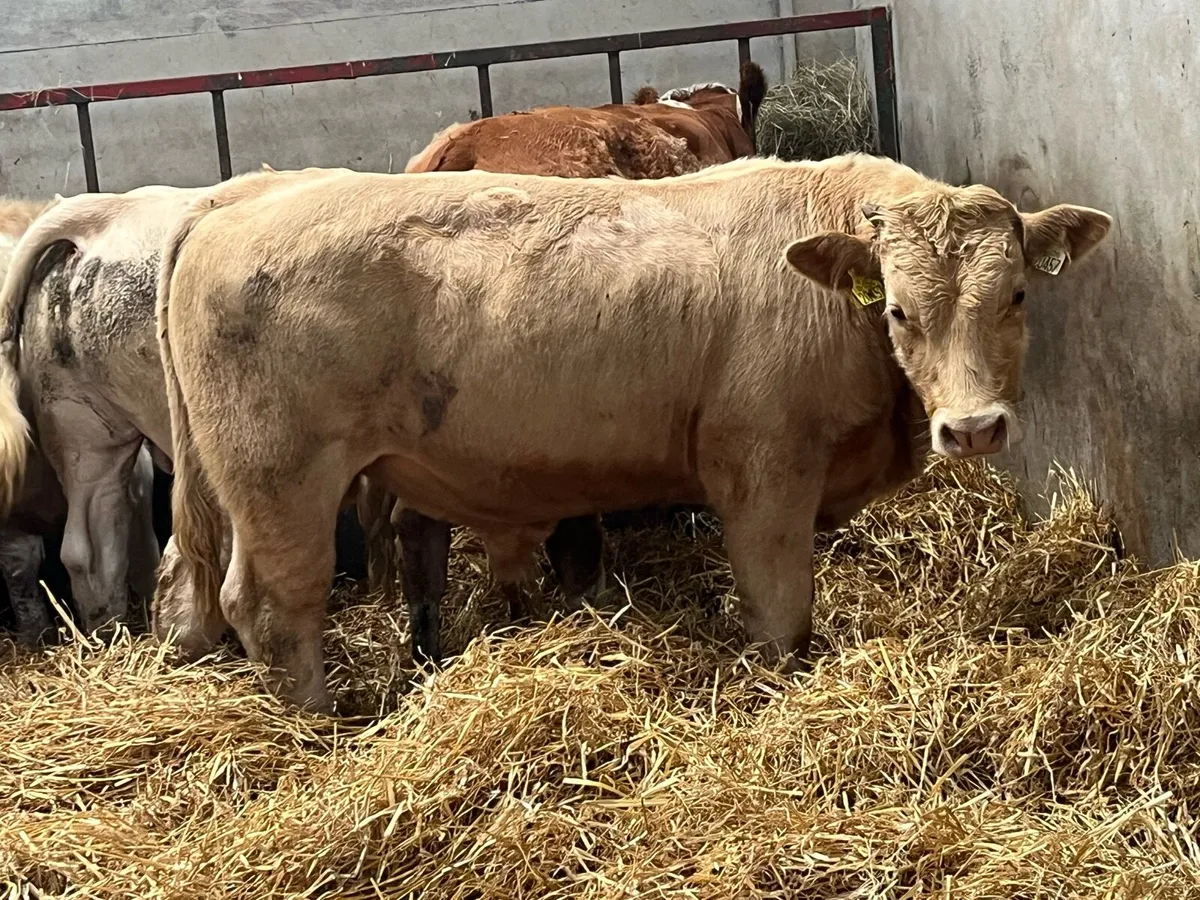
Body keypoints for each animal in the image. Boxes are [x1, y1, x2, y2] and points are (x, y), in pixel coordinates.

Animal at [144, 153, 1112, 711]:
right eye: (900, 312)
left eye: (1016, 295)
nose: (974, 427)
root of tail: (234, 199)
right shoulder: (763, 470)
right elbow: (781, 612)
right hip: (281, 477)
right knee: (275, 605)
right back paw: (320, 724)